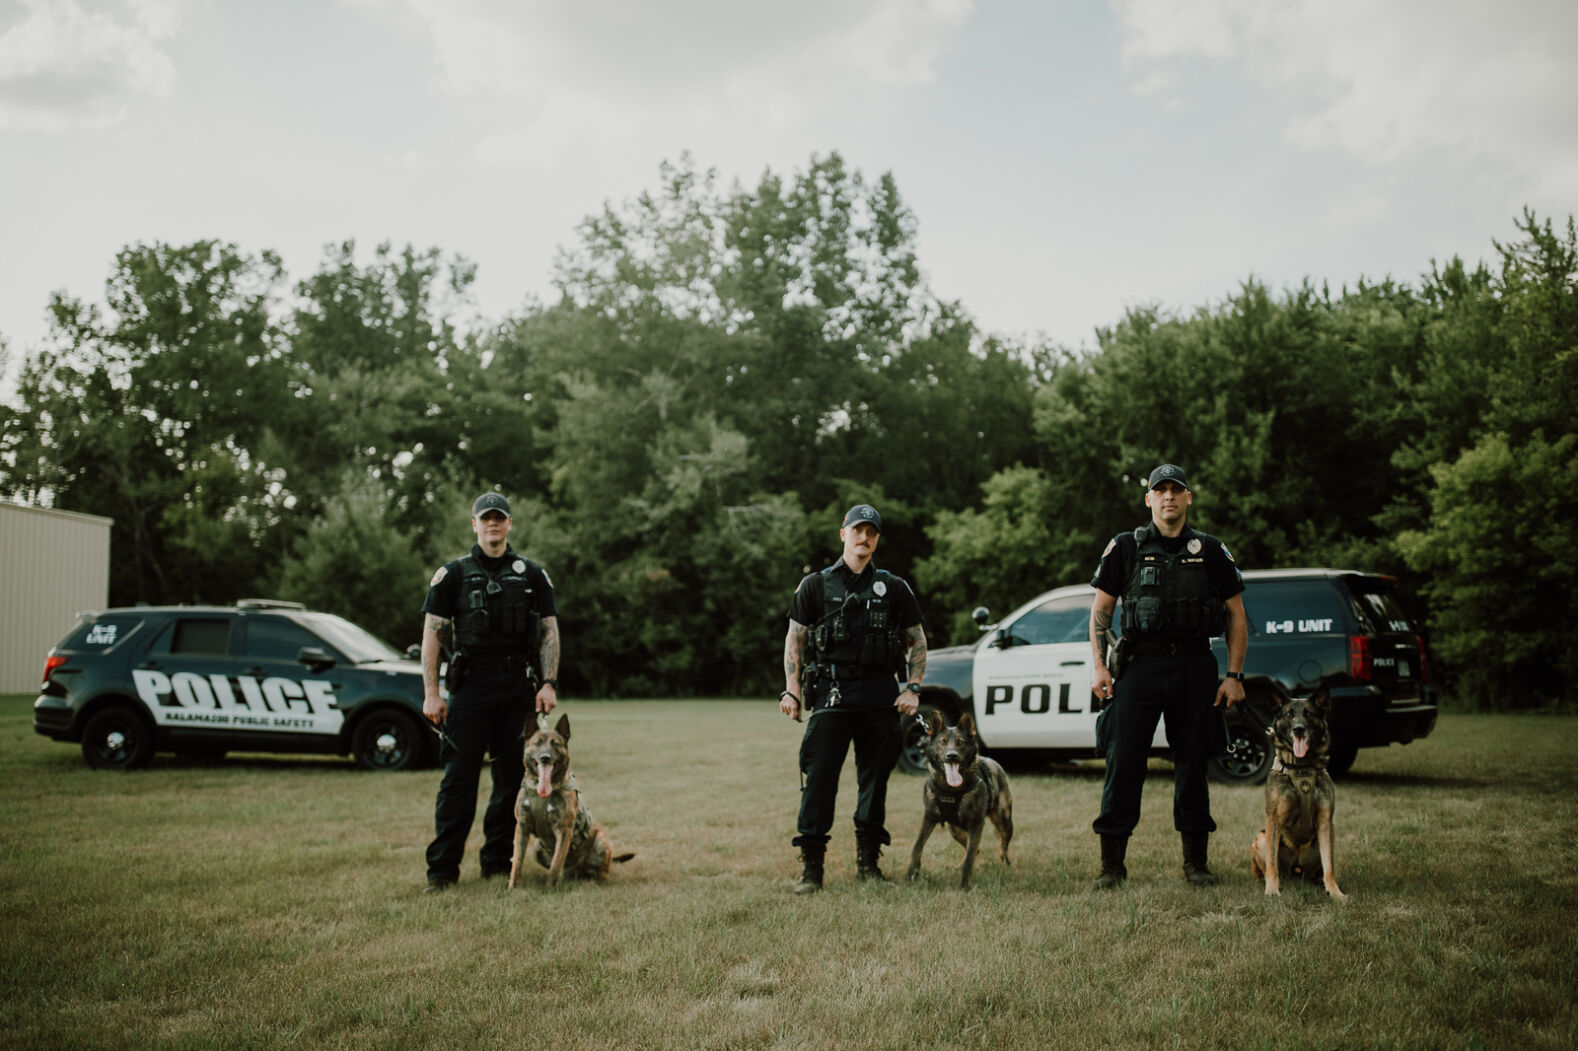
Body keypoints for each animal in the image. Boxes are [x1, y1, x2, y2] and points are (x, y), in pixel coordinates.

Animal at [504, 713, 628, 883]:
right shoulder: (522, 828)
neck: (541, 793)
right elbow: (516, 862)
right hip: (536, 848)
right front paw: (513, 887)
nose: (545, 757)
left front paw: (549, 888)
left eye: (556, 744)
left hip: (600, 842)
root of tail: (575, 872)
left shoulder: (563, 831)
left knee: (601, 874)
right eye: (537, 743)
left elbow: (555, 866)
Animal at [908, 706, 1016, 890]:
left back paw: (1004, 864)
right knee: (974, 849)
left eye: (960, 742)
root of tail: (992, 761)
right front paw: (911, 875)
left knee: (1002, 846)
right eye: (942, 742)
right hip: (955, 830)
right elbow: (917, 846)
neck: (951, 790)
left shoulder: (976, 825)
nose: (951, 755)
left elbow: (970, 858)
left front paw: (965, 885)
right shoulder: (928, 817)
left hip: (1003, 821)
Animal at [1243, 684, 1344, 896]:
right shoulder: (1273, 820)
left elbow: (1329, 867)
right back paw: (1264, 882)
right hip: (1261, 838)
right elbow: (1272, 864)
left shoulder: (1325, 822)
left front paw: (1335, 893)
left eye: (1309, 714)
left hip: (1323, 840)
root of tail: (1296, 868)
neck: (1301, 768)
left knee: (1320, 868)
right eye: (1289, 714)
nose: (1298, 730)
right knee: (1265, 867)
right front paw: (1272, 890)